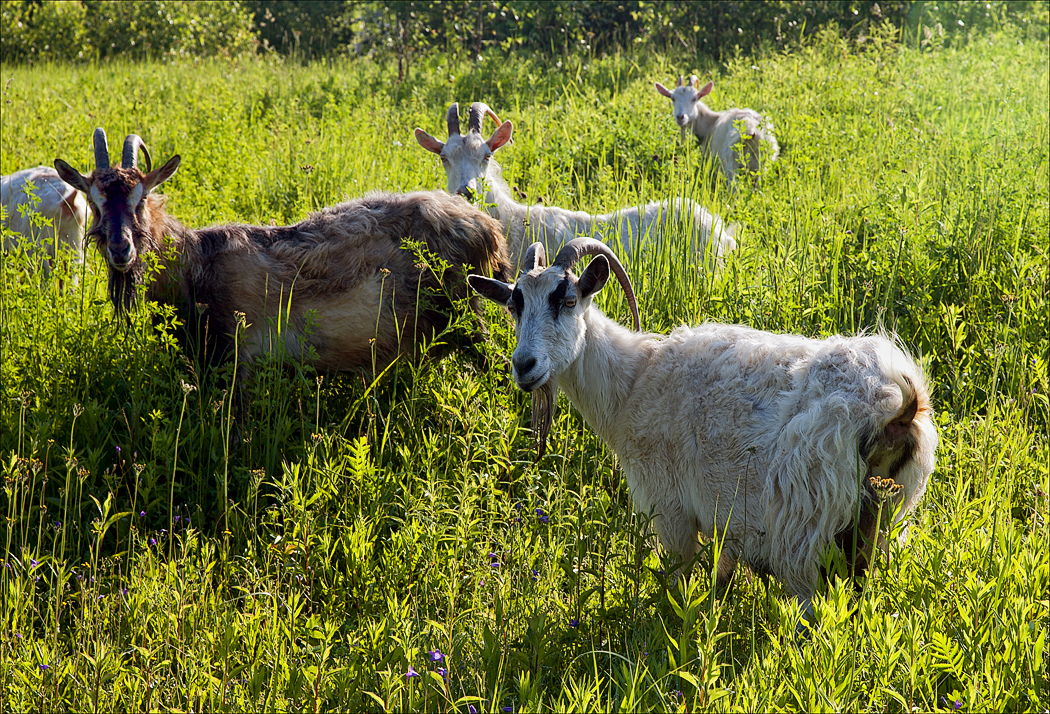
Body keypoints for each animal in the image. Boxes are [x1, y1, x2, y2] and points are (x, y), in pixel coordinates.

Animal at [55, 127, 510, 375]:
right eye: (95, 202)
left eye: (142, 198)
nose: (121, 248)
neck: (196, 262)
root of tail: (485, 228)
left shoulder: (238, 356)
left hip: (466, 315)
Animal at [468, 238, 936, 625]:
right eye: (514, 306)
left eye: (567, 299)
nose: (524, 366)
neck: (634, 381)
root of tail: (897, 403)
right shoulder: (723, 527)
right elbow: (719, 580)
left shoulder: (671, 507)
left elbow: (679, 581)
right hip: (885, 514)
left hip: (806, 523)